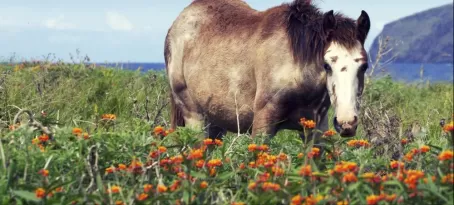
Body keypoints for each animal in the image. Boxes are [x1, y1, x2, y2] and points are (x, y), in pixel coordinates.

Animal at [165, 0, 370, 146]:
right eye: (326, 65)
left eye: (364, 66)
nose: (346, 123)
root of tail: (174, 27)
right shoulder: (263, 124)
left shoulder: (316, 129)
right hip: (195, 118)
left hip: (216, 125)